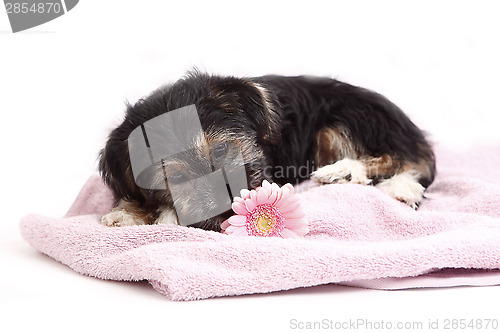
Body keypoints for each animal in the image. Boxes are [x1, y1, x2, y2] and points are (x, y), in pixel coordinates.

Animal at [97, 70, 434, 231]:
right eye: (175, 179)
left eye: (222, 150)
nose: (226, 207)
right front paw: (125, 213)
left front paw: (162, 216)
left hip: (347, 120)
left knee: (404, 158)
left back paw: (354, 174)